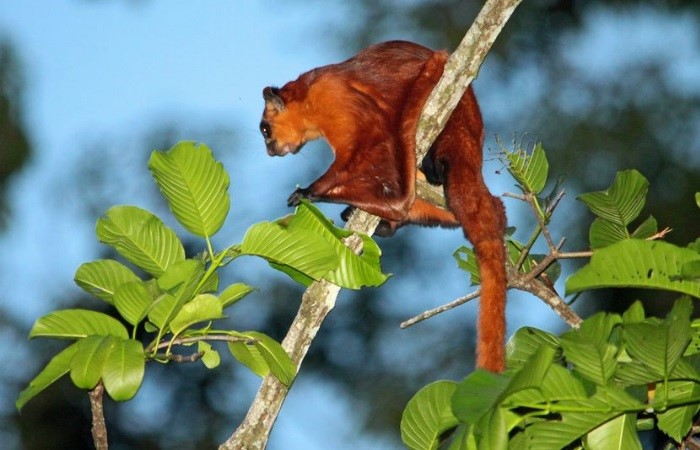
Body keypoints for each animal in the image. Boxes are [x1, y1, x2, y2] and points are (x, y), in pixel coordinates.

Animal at [260, 41, 506, 372]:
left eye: (265, 130)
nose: (269, 150)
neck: (308, 96)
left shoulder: (332, 95)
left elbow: (370, 138)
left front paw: (310, 191)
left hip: (455, 122)